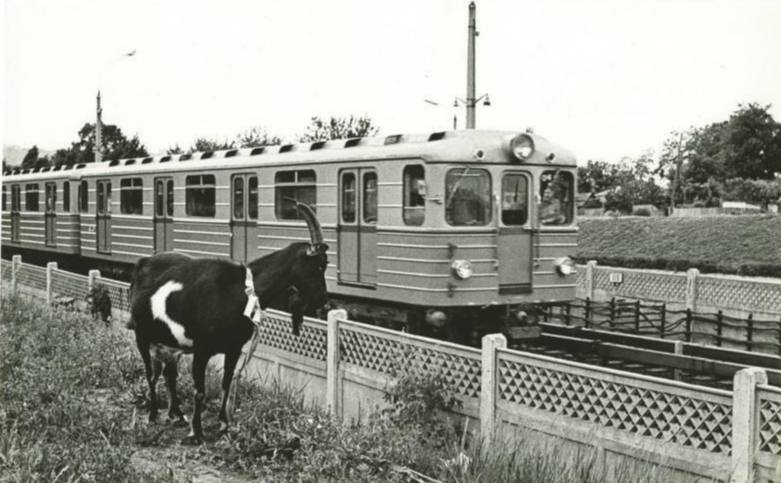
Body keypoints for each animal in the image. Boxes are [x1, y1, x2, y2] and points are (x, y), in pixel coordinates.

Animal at [127, 202, 326, 444]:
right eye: (318, 267)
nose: (324, 301)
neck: (241, 291)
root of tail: (142, 263)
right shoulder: (202, 349)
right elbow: (199, 390)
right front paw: (196, 432)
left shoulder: (233, 349)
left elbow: (226, 382)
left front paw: (224, 424)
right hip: (142, 336)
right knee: (151, 374)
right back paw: (154, 414)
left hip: (169, 342)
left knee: (168, 374)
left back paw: (177, 414)